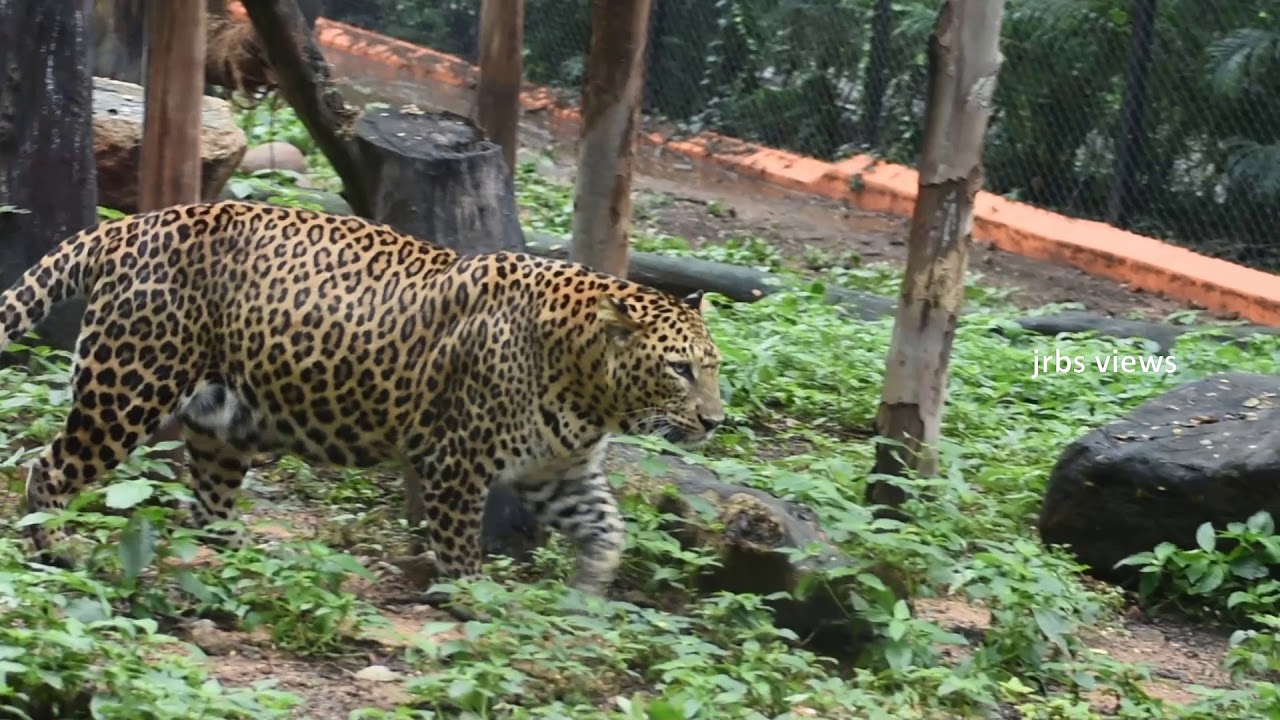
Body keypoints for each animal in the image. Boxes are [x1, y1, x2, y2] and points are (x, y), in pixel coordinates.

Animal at [0, 198, 727, 597]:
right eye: (678, 369)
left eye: (713, 367)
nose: (716, 421)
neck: (588, 390)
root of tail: (128, 226)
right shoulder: (455, 461)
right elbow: (459, 547)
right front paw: (474, 603)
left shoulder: (561, 471)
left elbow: (608, 528)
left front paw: (589, 592)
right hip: (128, 389)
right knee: (49, 468)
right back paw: (52, 553)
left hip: (220, 423)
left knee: (207, 505)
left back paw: (246, 565)